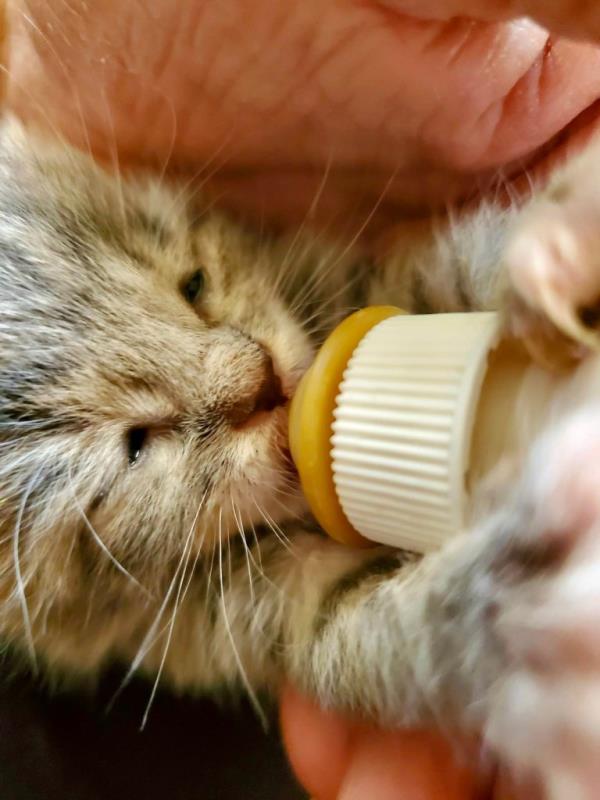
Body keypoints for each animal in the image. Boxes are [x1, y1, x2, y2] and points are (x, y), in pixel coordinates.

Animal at [3, 115, 600, 796]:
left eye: (194, 284)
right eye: (136, 443)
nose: (262, 384)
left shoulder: (368, 289)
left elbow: (446, 266)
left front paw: (558, 248)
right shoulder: (271, 618)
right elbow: (398, 632)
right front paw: (539, 614)